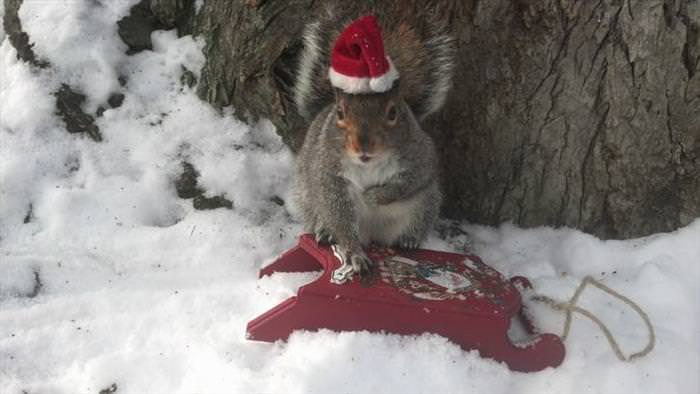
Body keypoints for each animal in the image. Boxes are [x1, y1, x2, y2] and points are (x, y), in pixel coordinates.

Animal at [292, 10, 452, 282]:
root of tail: (373, 235)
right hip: (308, 197)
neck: (369, 163)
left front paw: (374, 196)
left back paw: (409, 239)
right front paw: (355, 255)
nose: (363, 145)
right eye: (340, 113)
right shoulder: (330, 174)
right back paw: (326, 231)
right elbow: (340, 216)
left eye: (393, 113)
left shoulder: (420, 157)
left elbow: (407, 183)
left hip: (424, 205)